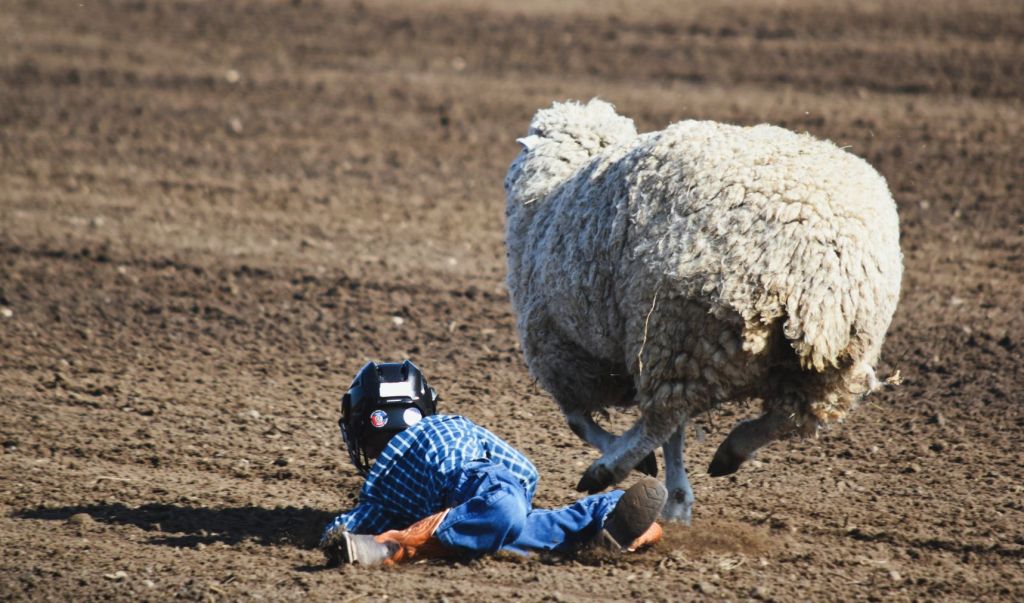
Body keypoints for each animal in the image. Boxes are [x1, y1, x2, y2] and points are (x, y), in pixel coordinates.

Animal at [504, 99, 902, 522]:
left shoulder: (562, 350)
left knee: (662, 418)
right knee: (792, 415)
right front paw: (675, 494)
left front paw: (645, 471)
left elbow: (578, 420)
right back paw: (731, 451)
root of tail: (818, 272)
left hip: (679, 330)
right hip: (832, 357)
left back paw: (610, 468)